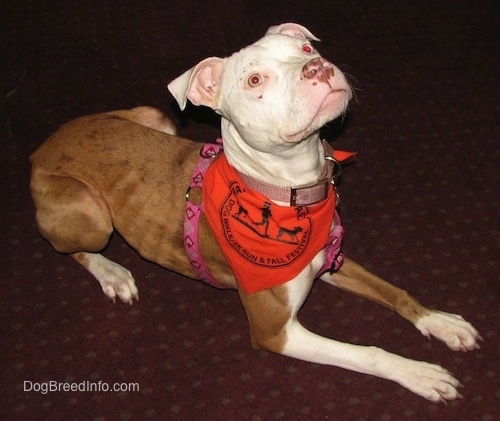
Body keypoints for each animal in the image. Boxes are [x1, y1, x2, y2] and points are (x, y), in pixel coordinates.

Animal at [30, 22, 480, 400]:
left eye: (305, 49)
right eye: (255, 80)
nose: (317, 66)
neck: (290, 192)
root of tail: (43, 148)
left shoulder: (330, 256)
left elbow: (393, 290)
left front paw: (440, 322)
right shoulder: (275, 332)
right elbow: (367, 352)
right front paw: (418, 373)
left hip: (155, 118)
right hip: (93, 214)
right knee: (74, 248)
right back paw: (112, 273)